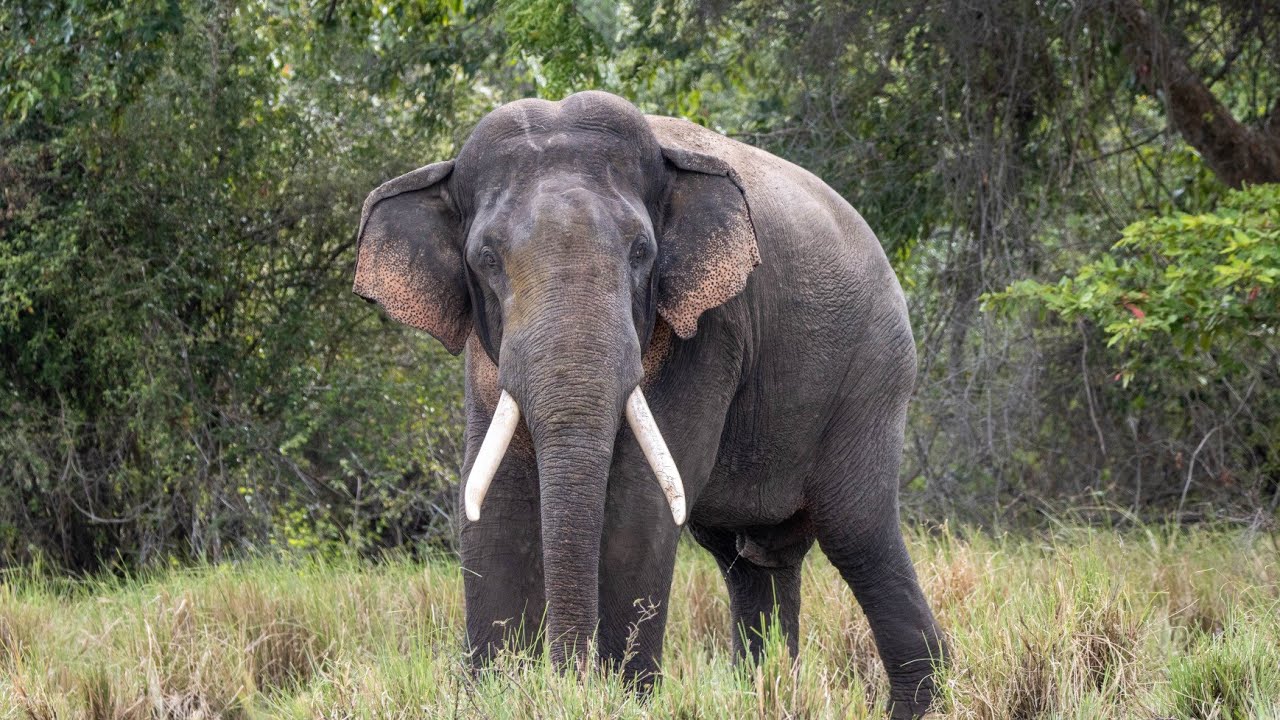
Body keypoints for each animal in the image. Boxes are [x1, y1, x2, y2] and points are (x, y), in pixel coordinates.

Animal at [355, 92, 947, 712]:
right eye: (486, 258)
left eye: (642, 251)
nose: (568, 680)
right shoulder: (484, 351)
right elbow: (495, 505)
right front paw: (498, 696)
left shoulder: (712, 328)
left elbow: (638, 504)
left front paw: (620, 699)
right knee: (753, 561)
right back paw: (766, 688)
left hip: (873, 377)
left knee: (859, 533)